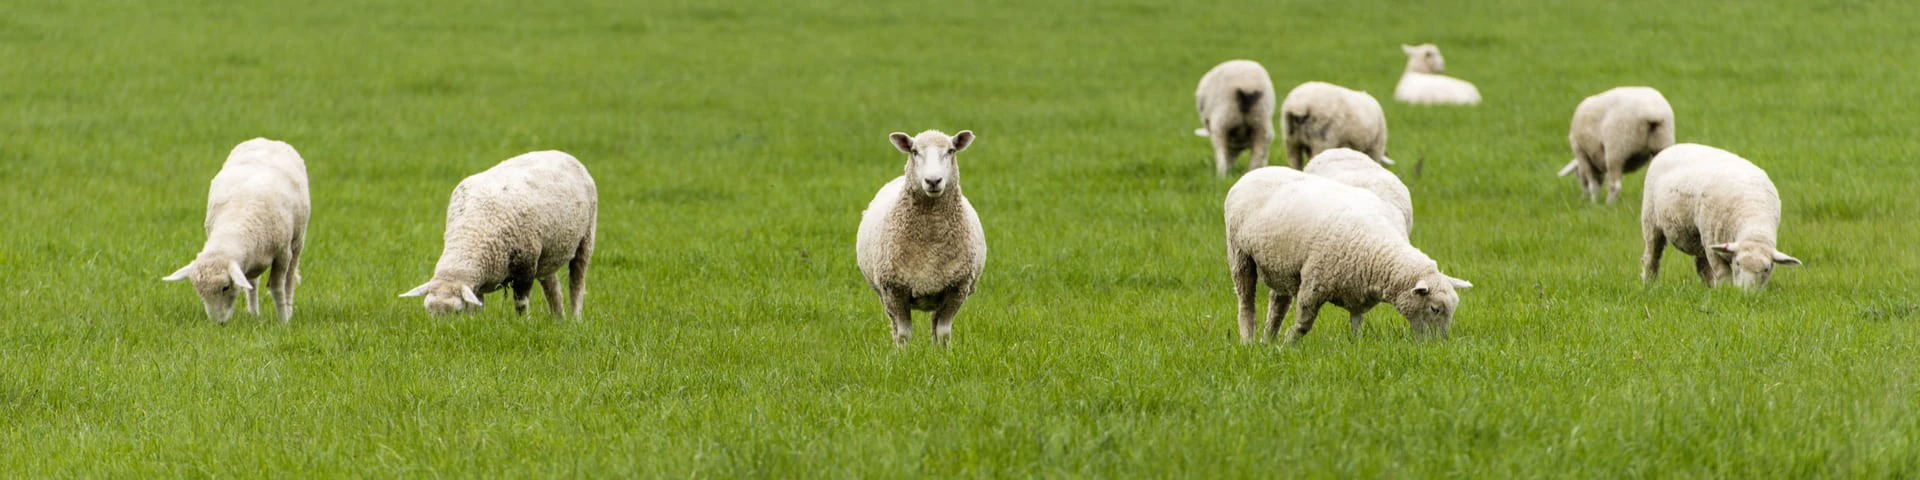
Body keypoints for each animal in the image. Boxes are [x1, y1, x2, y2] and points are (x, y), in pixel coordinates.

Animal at [164, 137, 311, 322]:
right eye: (200, 292)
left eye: (225, 287)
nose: (217, 323)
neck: (236, 222)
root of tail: (267, 140)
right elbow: (249, 285)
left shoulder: (282, 254)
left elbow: (277, 288)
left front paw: (283, 321)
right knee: (253, 283)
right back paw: (254, 314)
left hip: (297, 241)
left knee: (289, 279)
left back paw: (288, 310)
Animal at [397, 149, 591, 314]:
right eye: (430, 312)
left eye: (456, 311)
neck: (470, 233)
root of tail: (560, 153)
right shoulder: (479, 282)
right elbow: (477, 307)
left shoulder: (525, 267)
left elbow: (521, 305)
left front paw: (523, 325)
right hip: (546, 253)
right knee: (552, 288)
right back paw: (559, 319)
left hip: (586, 238)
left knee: (577, 285)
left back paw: (575, 319)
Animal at [864, 129, 998, 347]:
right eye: (914, 151)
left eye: (951, 151)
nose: (933, 181)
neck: (931, 239)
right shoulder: (895, 290)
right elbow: (904, 335)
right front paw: (904, 355)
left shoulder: (957, 289)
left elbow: (943, 333)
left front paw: (942, 354)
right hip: (884, 296)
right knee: (895, 327)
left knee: (935, 325)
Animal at [1221, 167, 1474, 343]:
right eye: (1435, 309)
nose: (1439, 345)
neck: (1380, 249)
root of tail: (1252, 173)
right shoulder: (1314, 283)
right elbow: (1303, 325)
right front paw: (1288, 343)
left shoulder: (1358, 291)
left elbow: (1356, 324)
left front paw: (1355, 346)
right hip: (1240, 255)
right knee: (1246, 303)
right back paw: (1249, 340)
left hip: (1281, 266)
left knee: (1277, 306)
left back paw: (1268, 340)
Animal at [1635, 144, 1797, 289]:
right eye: (1738, 263)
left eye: (1766, 269)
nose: (1746, 294)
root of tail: (1672, 147)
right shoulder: (1712, 244)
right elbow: (1723, 274)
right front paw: (1726, 292)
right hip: (1651, 221)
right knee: (1652, 257)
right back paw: (1649, 284)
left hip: (1699, 237)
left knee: (1702, 266)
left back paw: (1709, 287)